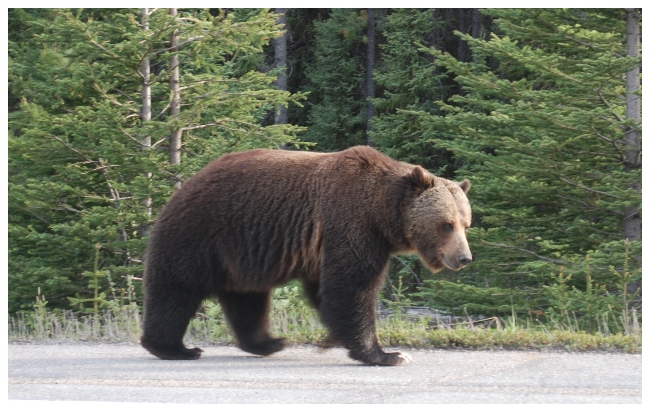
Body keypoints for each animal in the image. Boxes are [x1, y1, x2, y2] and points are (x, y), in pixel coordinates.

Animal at [140, 146, 470, 366]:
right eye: (446, 224)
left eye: (466, 223)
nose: (464, 257)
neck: (382, 212)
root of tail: (184, 185)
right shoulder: (351, 223)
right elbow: (353, 287)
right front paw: (387, 353)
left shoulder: (324, 244)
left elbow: (326, 290)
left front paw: (336, 338)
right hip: (201, 234)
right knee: (177, 290)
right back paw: (175, 348)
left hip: (241, 252)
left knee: (247, 298)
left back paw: (269, 342)